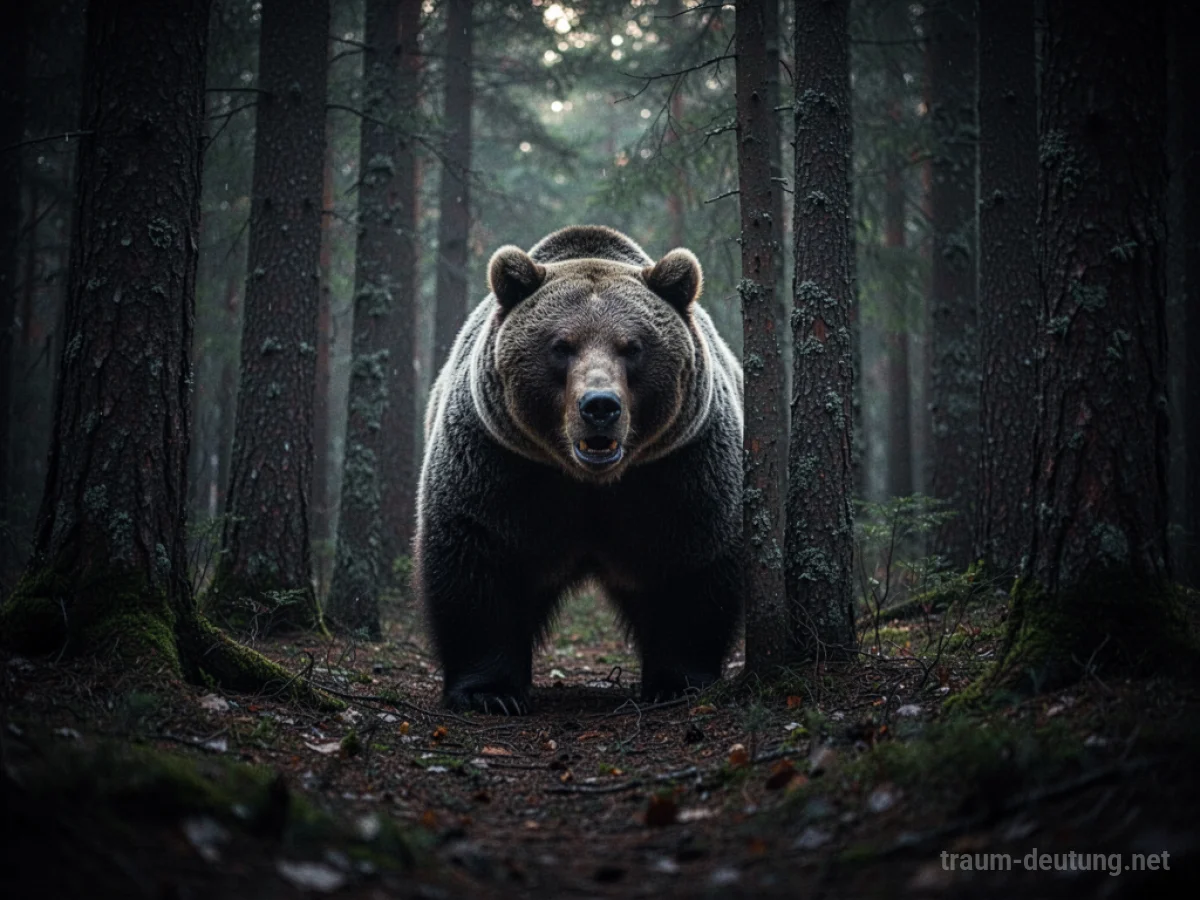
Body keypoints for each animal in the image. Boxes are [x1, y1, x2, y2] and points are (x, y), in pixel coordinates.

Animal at [415, 225, 743, 714]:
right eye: (560, 346)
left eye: (633, 347)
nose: (600, 406)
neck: (591, 481)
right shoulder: (498, 465)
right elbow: (477, 564)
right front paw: (490, 693)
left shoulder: (680, 468)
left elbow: (694, 564)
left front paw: (679, 682)